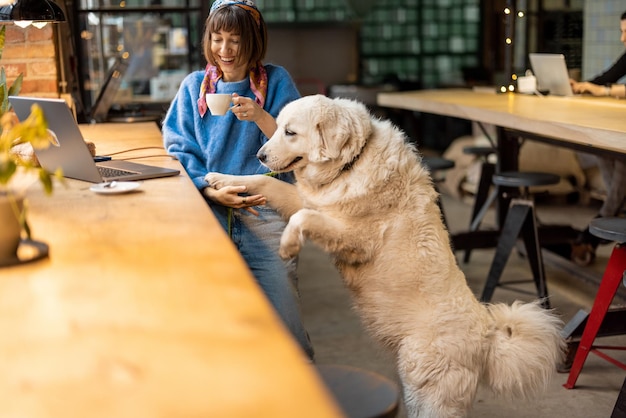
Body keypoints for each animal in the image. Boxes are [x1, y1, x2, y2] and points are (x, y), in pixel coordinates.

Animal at [204, 95, 560, 418]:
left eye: (290, 132)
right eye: (277, 128)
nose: (260, 155)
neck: (352, 164)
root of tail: (487, 336)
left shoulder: (351, 236)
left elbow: (302, 219)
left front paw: (288, 244)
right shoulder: (308, 201)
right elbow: (262, 182)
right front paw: (221, 179)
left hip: (424, 381)